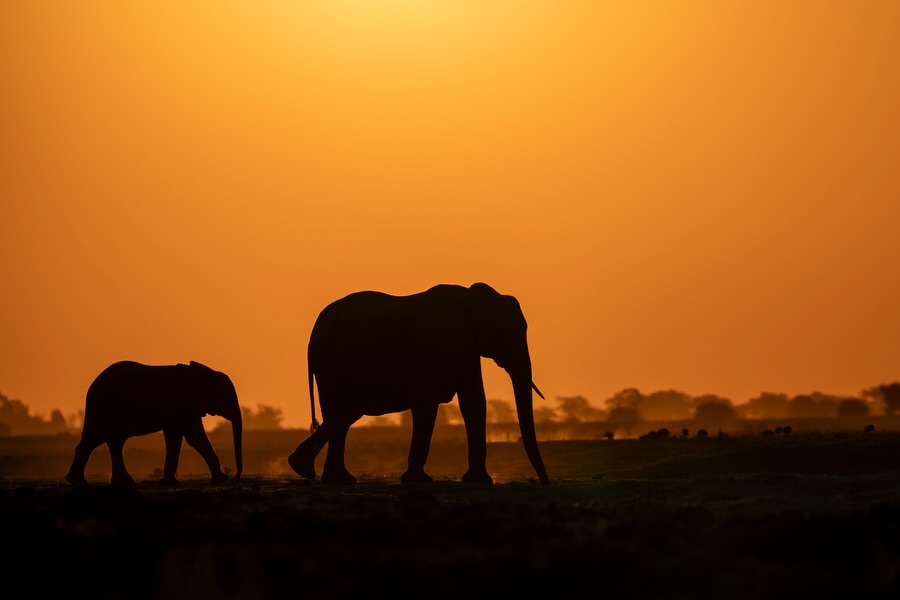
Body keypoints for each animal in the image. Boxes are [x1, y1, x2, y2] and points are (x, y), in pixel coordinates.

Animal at [65, 360, 243, 488]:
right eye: (225, 397)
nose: (236, 476)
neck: (199, 372)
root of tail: (92, 384)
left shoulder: (188, 407)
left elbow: (195, 437)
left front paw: (220, 479)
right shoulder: (174, 404)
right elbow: (175, 435)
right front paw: (170, 484)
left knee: (108, 441)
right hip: (102, 406)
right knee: (97, 439)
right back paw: (82, 482)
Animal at [287, 282, 551, 486]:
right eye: (503, 333)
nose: (544, 482)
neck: (473, 300)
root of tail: (317, 326)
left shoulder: (465, 347)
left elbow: (474, 402)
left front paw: (478, 481)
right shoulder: (435, 347)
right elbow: (427, 404)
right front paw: (419, 480)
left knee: (344, 414)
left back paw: (320, 473)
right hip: (328, 362)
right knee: (342, 412)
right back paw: (314, 471)